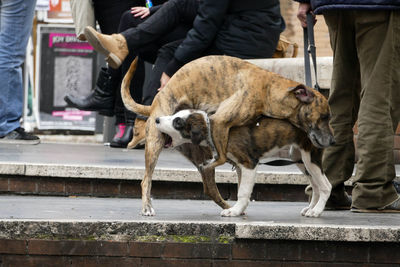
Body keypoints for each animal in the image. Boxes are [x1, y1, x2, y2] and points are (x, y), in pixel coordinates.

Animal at [155, 110, 332, 219]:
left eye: (177, 122)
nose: (156, 119)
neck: (213, 130)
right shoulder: (239, 166)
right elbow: (241, 189)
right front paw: (239, 210)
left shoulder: (248, 163)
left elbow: (243, 192)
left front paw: (234, 211)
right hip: (300, 158)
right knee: (315, 185)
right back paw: (311, 208)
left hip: (310, 157)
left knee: (325, 185)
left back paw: (316, 211)